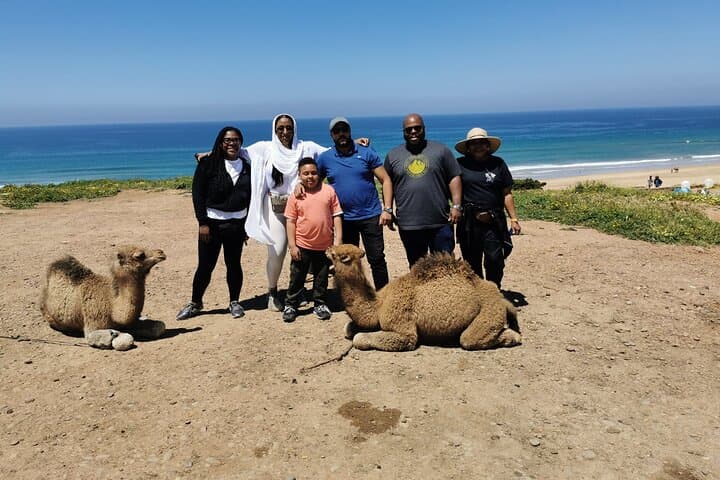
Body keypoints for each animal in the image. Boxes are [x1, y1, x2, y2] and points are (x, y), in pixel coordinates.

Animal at [326, 244, 521, 351]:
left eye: (336, 254)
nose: (327, 249)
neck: (379, 305)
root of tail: (499, 297)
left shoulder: (403, 330)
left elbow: (359, 338)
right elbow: (348, 328)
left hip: (489, 312)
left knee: (469, 339)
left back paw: (513, 337)